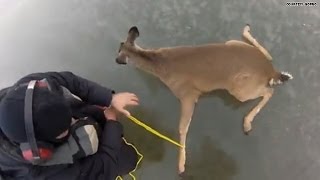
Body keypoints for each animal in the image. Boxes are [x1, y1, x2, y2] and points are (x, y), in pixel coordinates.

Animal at [115, 24, 292, 175]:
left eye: (119, 49)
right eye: (121, 44)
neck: (159, 63)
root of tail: (269, 71)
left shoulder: (188, 95)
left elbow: (182, 127)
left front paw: (181, 165)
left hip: (239, 89)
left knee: (269, 90)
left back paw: (247, 124)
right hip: (233, 45)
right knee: (268, 57)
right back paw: (247, 30)